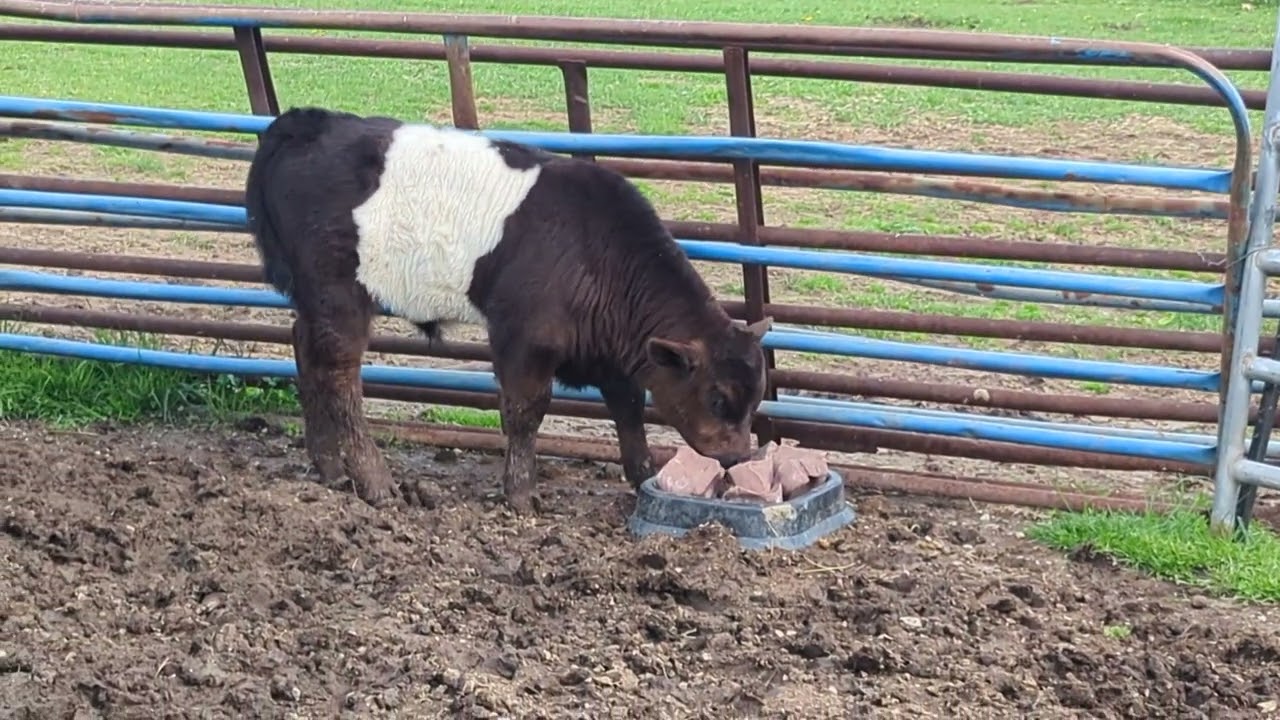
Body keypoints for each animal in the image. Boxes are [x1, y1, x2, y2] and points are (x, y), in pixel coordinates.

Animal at [243, 107, 772, 512]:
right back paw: (375, 481)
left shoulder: (606, 351)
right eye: (718, 398)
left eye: (755, 399)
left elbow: (627, 407)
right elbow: (525, 411)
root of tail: (306, 122)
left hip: (314, 297)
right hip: (338, 292)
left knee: (304, 349)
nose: (738, 456)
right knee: (339, 376)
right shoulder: (524, 338)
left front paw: (642, 476)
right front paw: (520, 494)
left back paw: (329, 466)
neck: (595, 252)